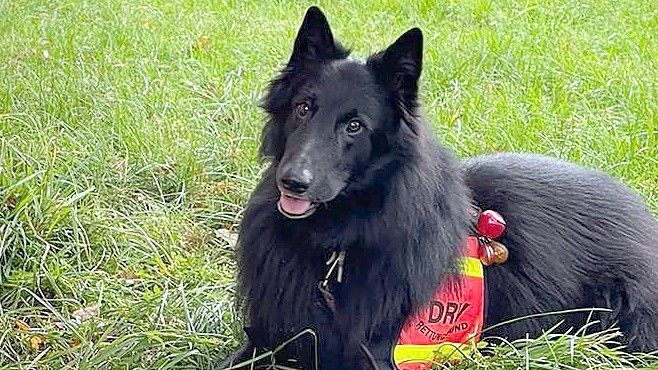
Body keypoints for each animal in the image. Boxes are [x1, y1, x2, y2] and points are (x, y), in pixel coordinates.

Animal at [220, 6, 656, 370]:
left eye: (355, 126)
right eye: (303, 108)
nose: (293, 181)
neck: (336, 246)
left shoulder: (379, 355)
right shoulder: (267, 341)